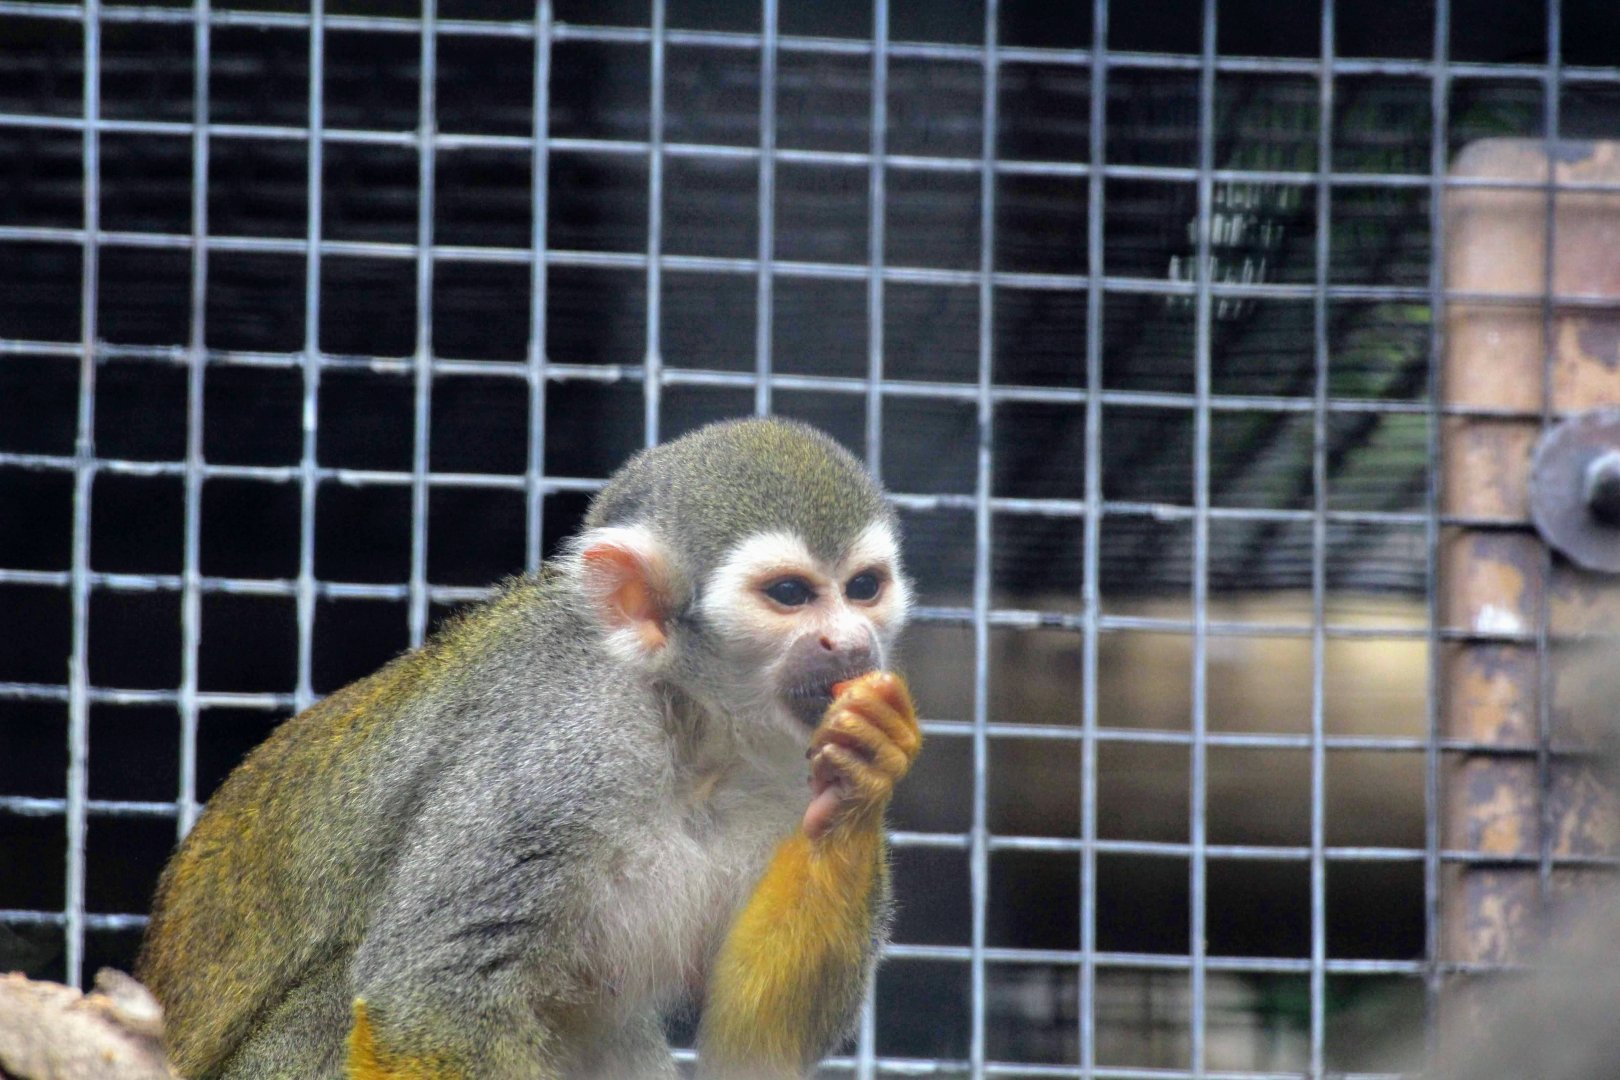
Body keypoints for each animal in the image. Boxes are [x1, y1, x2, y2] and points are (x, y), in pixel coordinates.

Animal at [136, 417, 922, 1079]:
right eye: (790, 594)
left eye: (863, 588)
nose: (850, 642)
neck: (690, 729)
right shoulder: (556, 747)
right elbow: (431, 998)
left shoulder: (786, 766)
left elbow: (758, 1039)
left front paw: (863, 778)